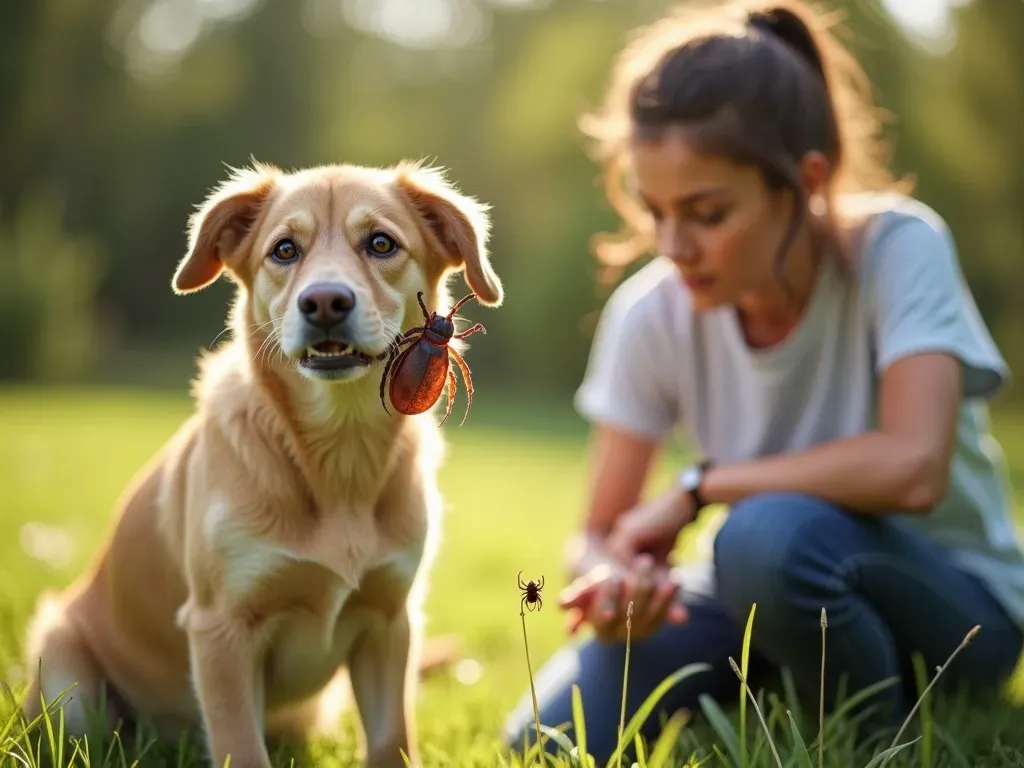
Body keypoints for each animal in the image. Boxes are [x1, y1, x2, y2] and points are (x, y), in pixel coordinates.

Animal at [22, 159, 501, 765]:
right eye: (284, 250)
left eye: (381, 243)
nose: (324, 303)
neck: (338, 460)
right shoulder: (220, 627)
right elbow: (240, 745)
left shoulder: (391, 620)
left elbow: (392, 740)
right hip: (65, 670)